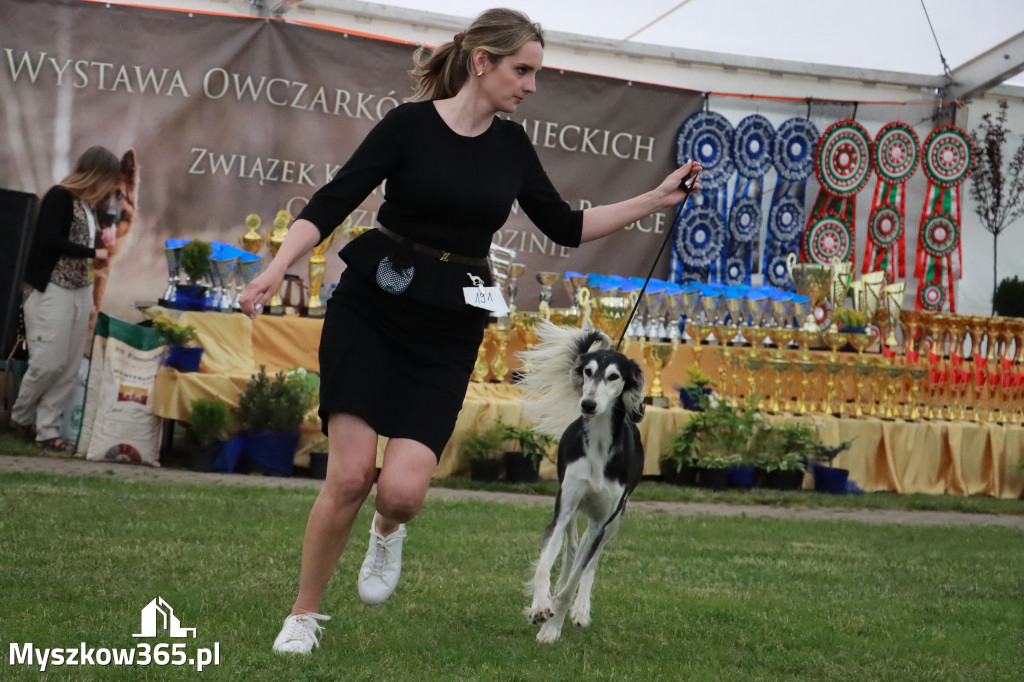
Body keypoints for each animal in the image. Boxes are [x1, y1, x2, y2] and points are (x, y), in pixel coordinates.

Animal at [516, 321, 643, 638]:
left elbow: (580, 575)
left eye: (614, 376)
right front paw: (540, 607)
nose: (587, 404)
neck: (598, 445)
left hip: (615, 520)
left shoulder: (602, 523)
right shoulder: (564, 509)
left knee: (588, 562)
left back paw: (581, 610)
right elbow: (545, 565)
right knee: (572, 550)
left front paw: (553, 626)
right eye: (588, 371)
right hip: (572, 510)